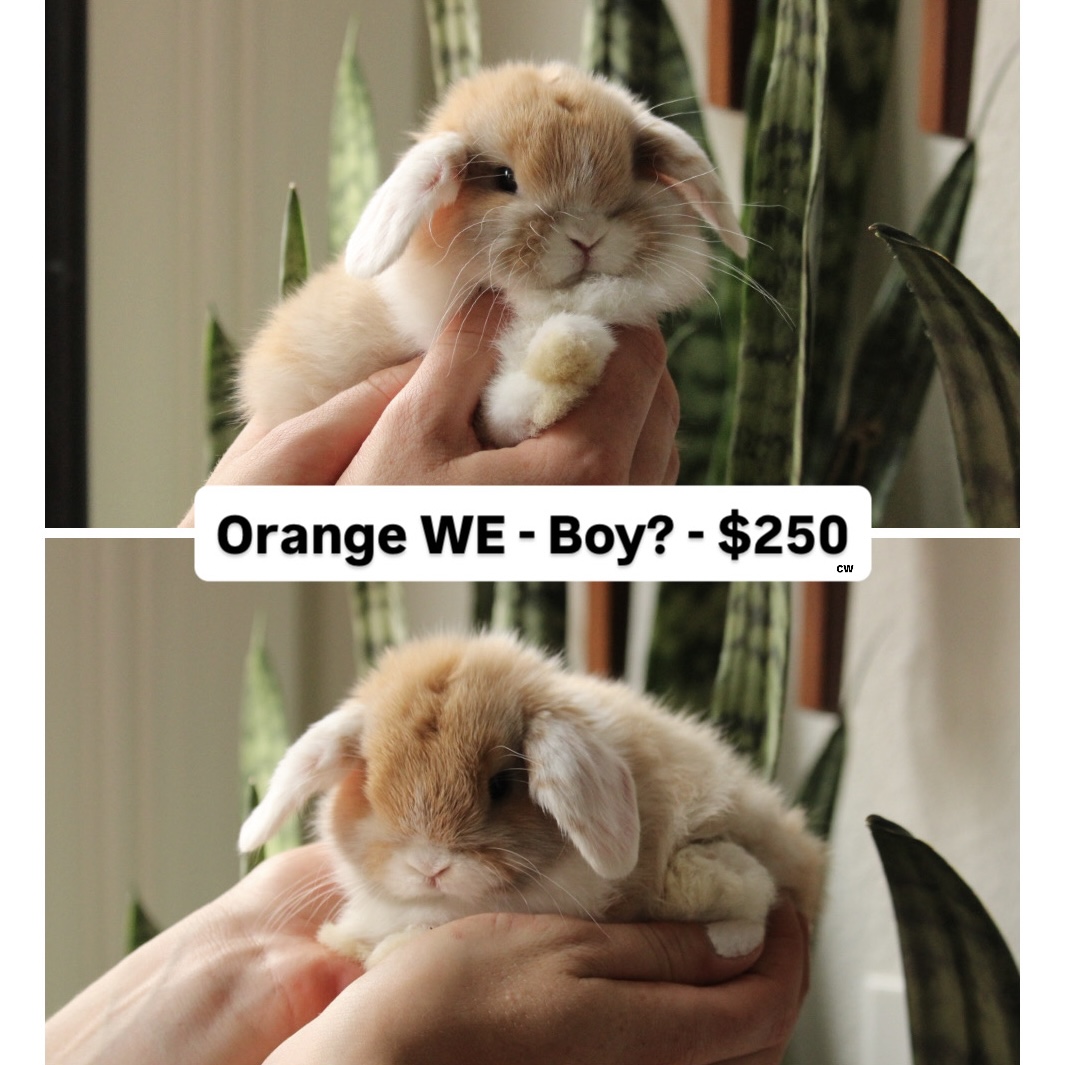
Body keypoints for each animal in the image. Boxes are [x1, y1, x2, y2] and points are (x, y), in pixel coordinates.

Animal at [238, 62, 747, 446]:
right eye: (504, 178)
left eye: (632, 167)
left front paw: (567, 349)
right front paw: (570, 347)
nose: (587, 234)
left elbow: (512, 407)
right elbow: (511, 413)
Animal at [238, 633, 825, 968]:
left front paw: (387, 951)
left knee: (757, 892)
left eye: (501, 784)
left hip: (696, 872)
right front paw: (351, 941)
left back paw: (728, 942)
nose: (430, 866)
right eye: (368, 785)